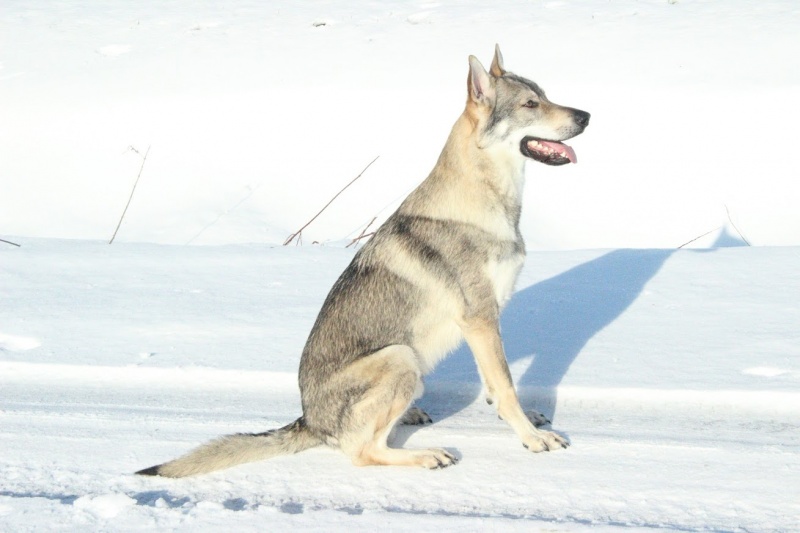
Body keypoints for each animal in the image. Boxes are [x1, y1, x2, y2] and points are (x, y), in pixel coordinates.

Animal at [138, 45, 588, 476]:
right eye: (531, 104)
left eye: (545, 96)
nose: (587, 115)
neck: (488, 203)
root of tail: (309, 421)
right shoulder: (479, 318)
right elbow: (506, 385)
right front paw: (531, 439)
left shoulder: (485, 323)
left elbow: (497, 386)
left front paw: (527, 421)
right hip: (401, 357)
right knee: (361, 452)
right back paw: (426, 455)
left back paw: (414, 416)